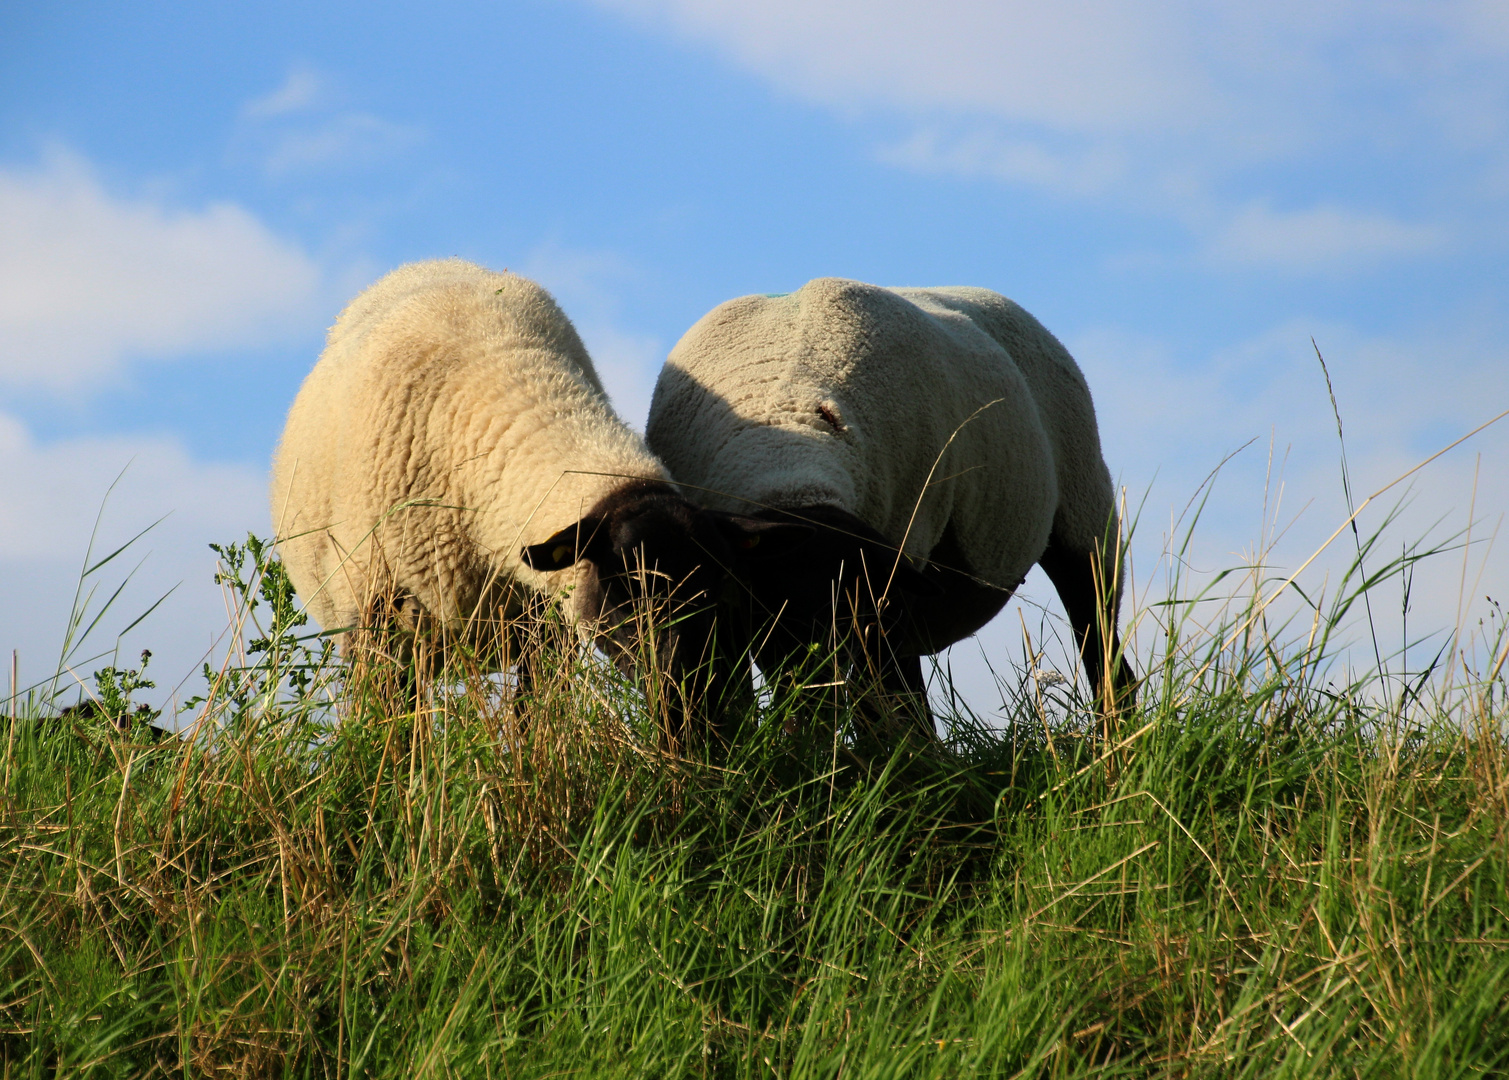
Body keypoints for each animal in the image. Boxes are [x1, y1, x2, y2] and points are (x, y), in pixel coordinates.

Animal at [268, 257, 802, 739]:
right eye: (627, 596)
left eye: (722, 591)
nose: (693, 715)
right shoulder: (376, 616)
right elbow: (385, 726)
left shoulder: (548, 628)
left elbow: (533, 716)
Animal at [645, 274, 1134, 730]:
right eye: (765, 605)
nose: (812, 696)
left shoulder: (895, 562)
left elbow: (890, 696)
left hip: (1084, 503)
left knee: (1101, 641)